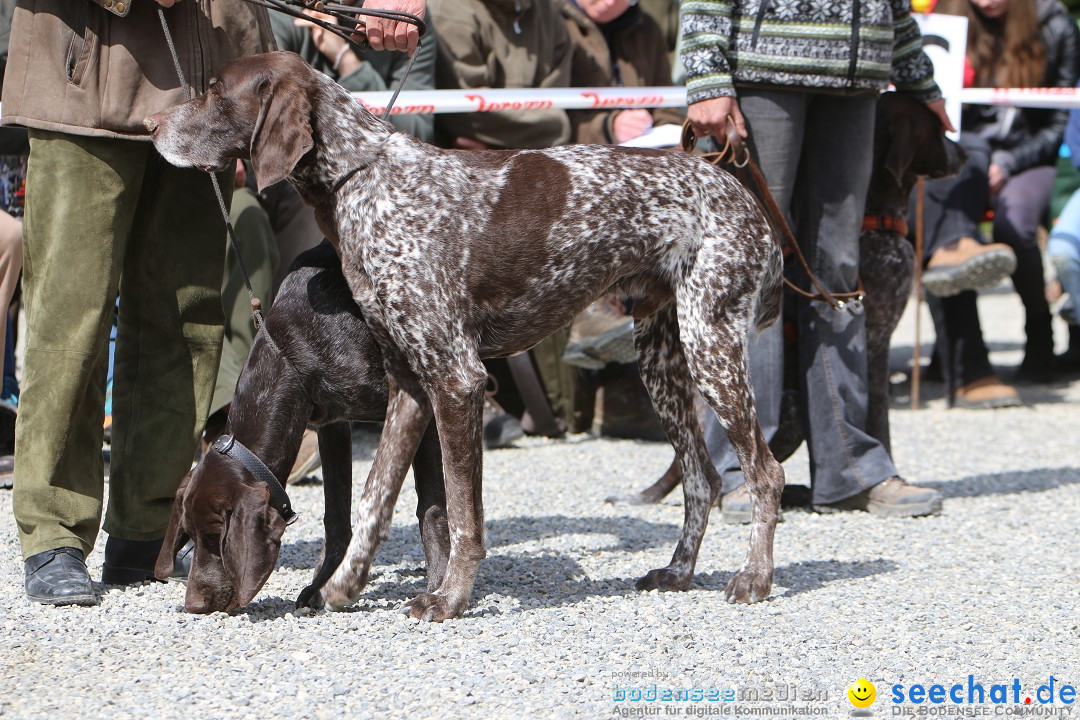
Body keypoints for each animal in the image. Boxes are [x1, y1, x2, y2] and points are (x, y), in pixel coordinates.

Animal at [154, 243, 444, 613]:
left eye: (217, 539)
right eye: (189, 536)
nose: (194, 604)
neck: (295, 352)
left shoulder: (421, 404)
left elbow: (431, 507)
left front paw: (435, 586)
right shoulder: (333, 426)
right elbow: (336, 519)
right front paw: (323, 585)